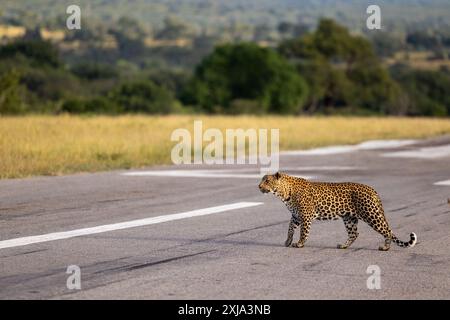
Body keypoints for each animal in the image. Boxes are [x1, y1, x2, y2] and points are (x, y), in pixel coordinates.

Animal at [258, 171, 416, 251]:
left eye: (267, 181)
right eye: (262, 180)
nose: (258, 186)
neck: (284, 193)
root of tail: (373, 190)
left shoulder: (305, 216)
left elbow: (303, 231)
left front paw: (300, 244)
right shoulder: (296, 216)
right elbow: (290, 228)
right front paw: (288, 241)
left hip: (371, 215)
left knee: (387, 231)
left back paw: (385, 247)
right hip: (349, 218)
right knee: (354, 233)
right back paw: (343, 246)